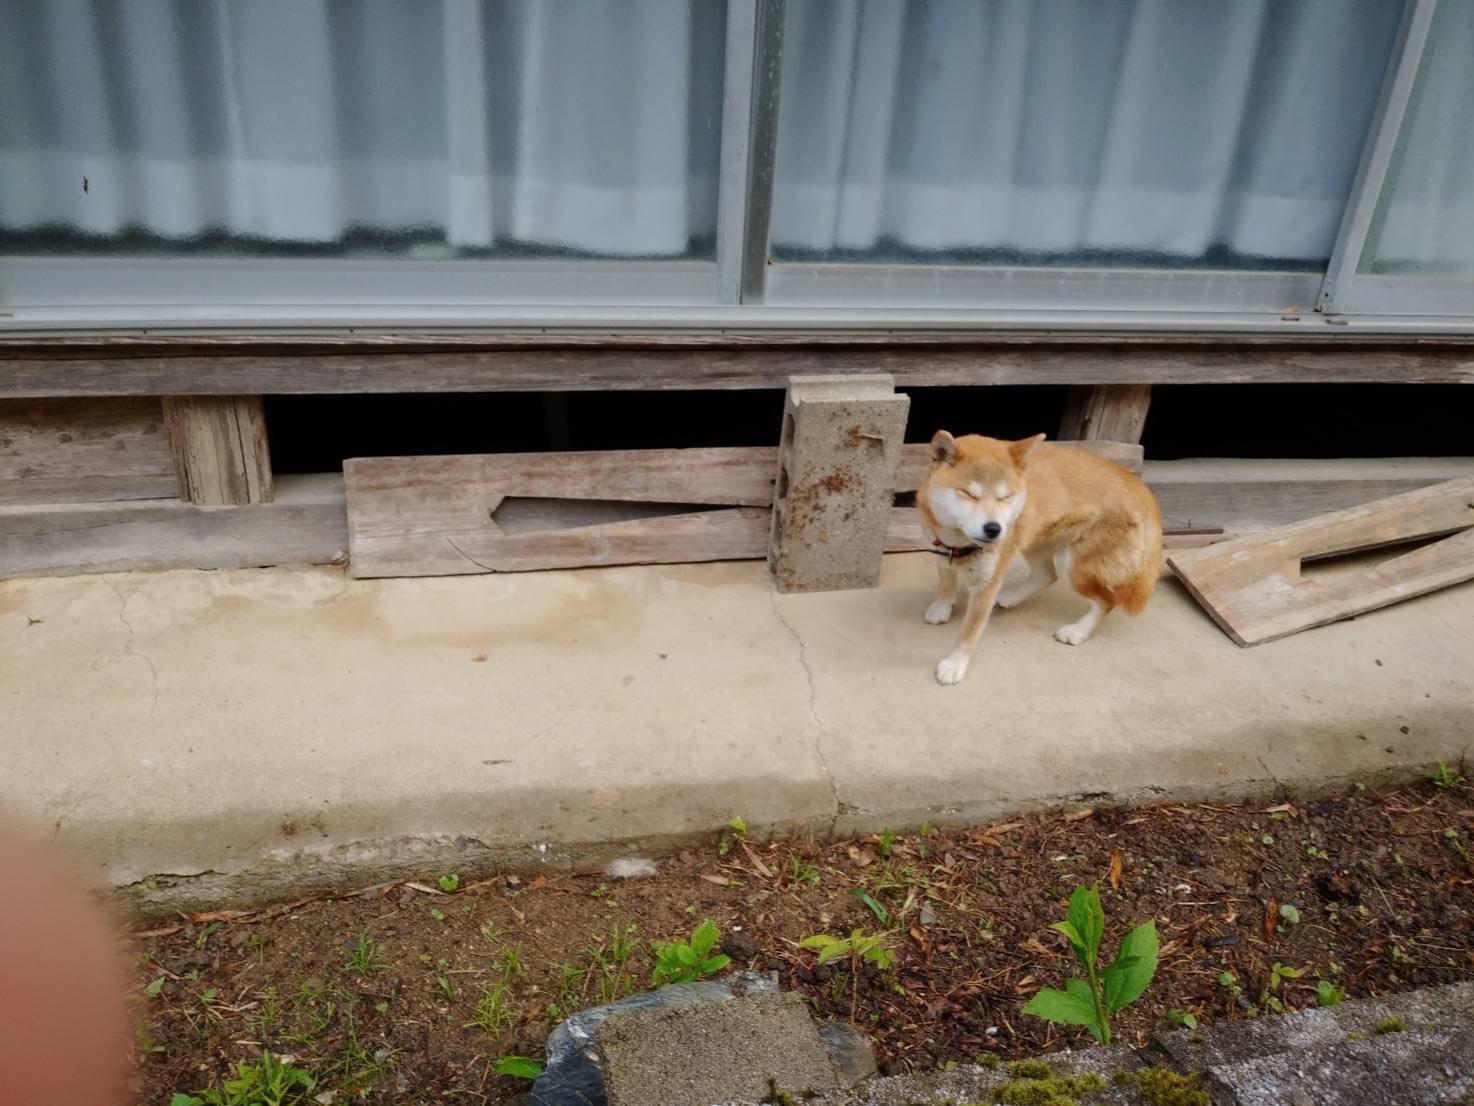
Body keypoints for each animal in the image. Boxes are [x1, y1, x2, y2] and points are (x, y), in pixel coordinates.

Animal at [917, 430, 1162, 685]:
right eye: (969, 494)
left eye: (1006, 497)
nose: (994, 529)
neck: (959, 543)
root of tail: (1140, 487)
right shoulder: (942, 552)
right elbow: (946, 583)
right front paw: (942, 606)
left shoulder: (987, 585)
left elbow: (969, 632)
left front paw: (955, 664)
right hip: (1035, 541)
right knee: (1047, 575)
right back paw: (1011, 597)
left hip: (1072, 565)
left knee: (1106, 601)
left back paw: (1078, 631)